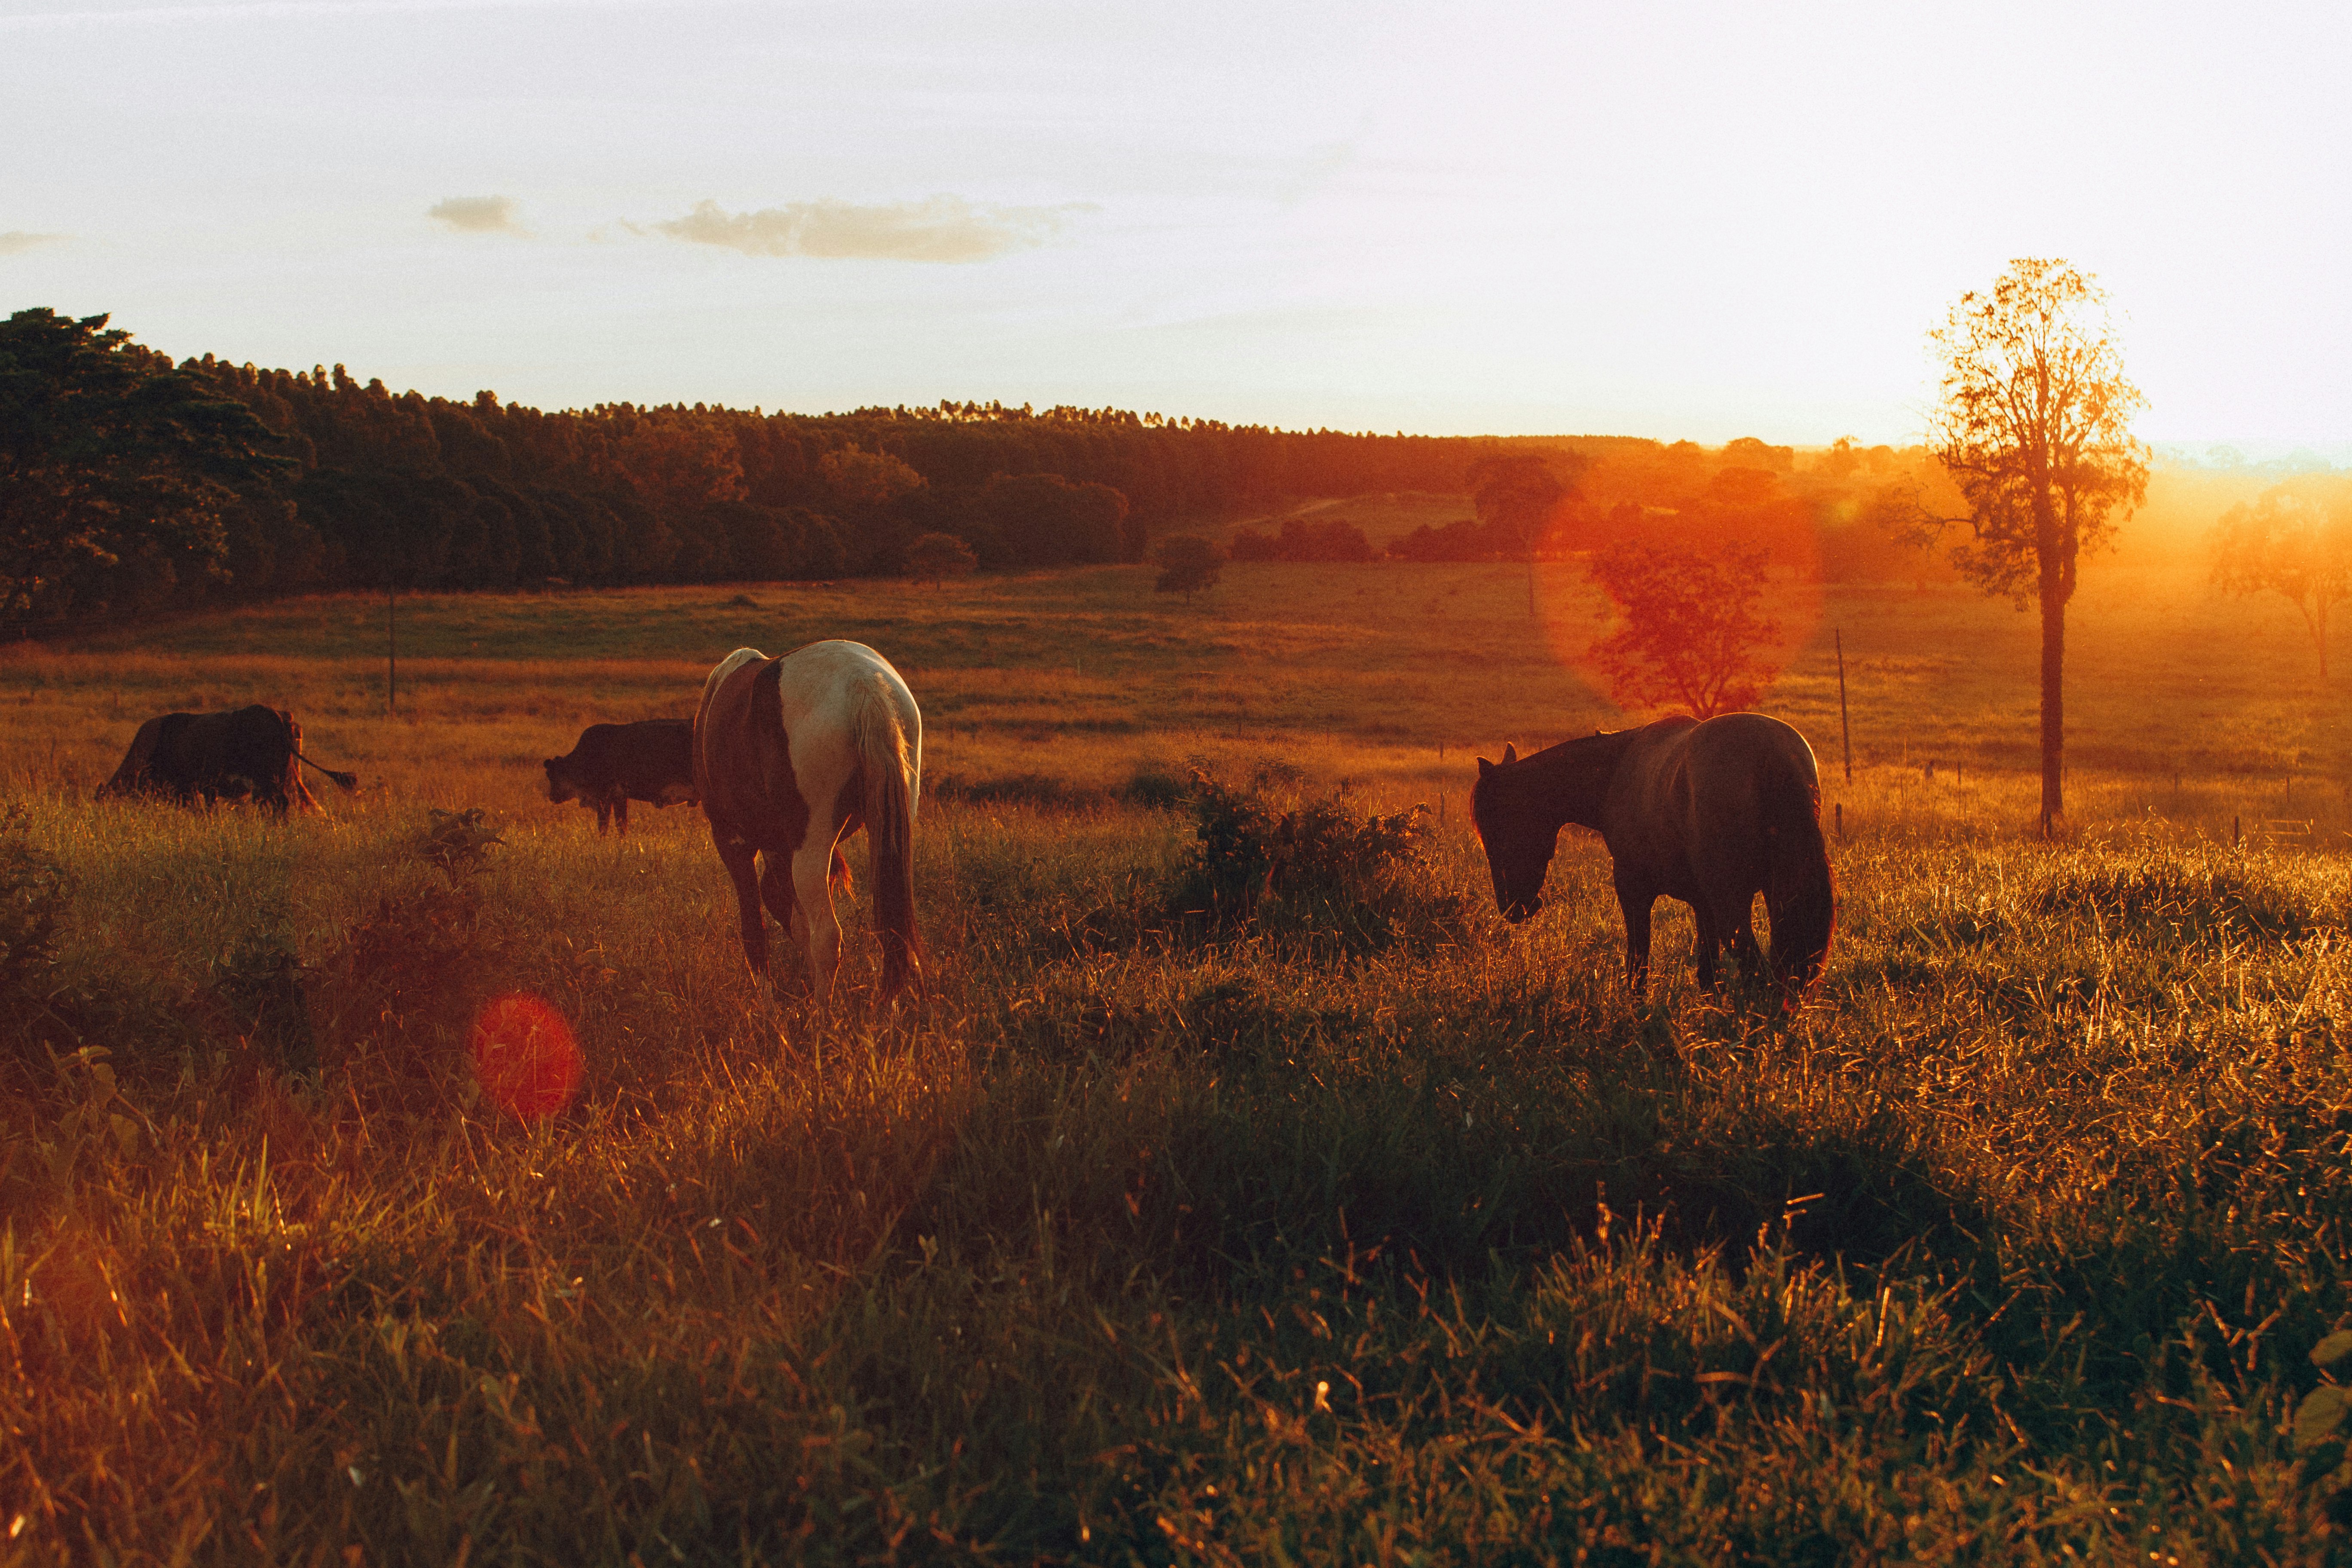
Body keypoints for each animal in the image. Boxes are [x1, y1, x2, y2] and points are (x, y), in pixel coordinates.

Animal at [98, 705, 355, 818]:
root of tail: (277, 715)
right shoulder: (206, 789)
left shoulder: (187, 789)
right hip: (281, 780)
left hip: (268, 782)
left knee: (280, 805)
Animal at [543, 719, 696, 832]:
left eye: (552, 775)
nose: (552, 797)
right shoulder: (619, 797)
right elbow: (621, 826)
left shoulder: (604, 798)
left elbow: (604, 826)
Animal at [686, 639, 917, 1001]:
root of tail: (862, 683)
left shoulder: (733, 842)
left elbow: (755, 931)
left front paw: (767, 1006)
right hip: (892, 831)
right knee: (893, 933)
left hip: (812, 847)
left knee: (827, 938)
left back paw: (824, 1013)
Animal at [1467, 714, 1834, 1001]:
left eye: (1496, 831)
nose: (1513, 908)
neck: (1616, 771)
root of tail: (1771, 754)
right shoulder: (1703, 904)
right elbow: (1708, 976)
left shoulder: (1633, 891)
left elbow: (1638, 966)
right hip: (1778, 899)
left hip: (1732, 904)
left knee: (1758, 976)